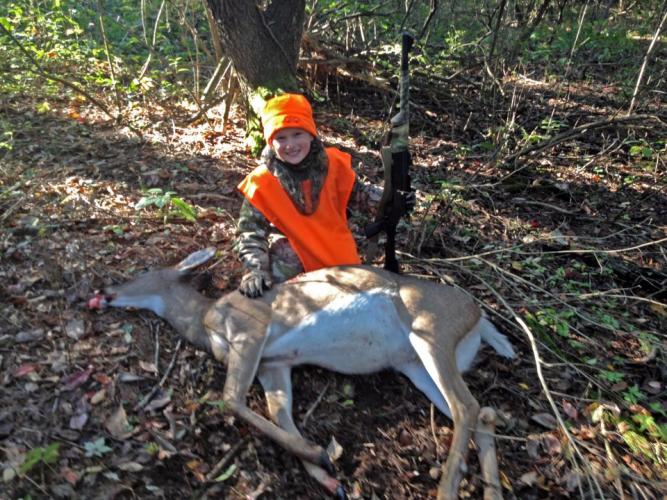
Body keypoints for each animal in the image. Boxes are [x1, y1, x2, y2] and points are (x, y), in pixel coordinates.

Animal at [88, 248, 516, 499]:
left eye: (143, 270)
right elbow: (281, 417)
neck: (205, 320)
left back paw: (447, 489)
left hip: (429, 329)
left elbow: (231, 400)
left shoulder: (251, 331)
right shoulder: (275, 366)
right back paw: (492, 492)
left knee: (466, 406)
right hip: (414, 364)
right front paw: (326, 470)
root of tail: (479, 316)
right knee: (483, 411)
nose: (104, 290)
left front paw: (320, 453)